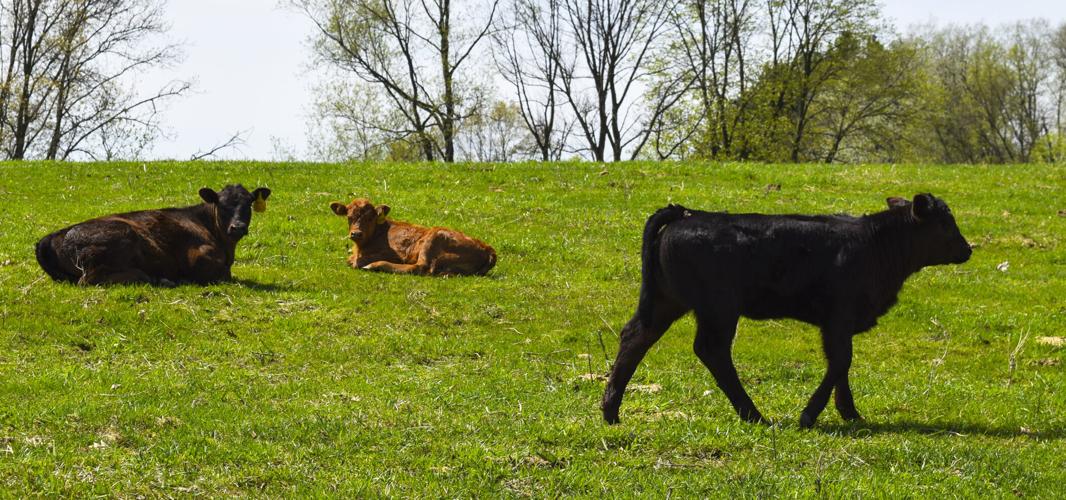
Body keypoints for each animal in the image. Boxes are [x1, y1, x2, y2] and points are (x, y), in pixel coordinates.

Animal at [35, 185, 271, 286]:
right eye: (221, 204)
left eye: (249, 203)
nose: (238, 227)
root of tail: (53, 235)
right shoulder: (198, 258)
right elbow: (224, 274)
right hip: (119, 237)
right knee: (89, 280)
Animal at [329, 198, 497, 276]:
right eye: (349, 217)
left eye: (370, 218)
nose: (356, 233)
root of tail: (488, 249)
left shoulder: (395, 254)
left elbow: (356, 262)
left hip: (433, 238)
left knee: (419, 267)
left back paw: (376, 265)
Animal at [601, 194, 972, 428]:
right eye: (946, 222)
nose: (968, 249)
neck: (874, 245)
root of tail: (689, 214)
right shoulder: (839, 317)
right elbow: (841, 361)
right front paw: (810, 415)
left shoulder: (839, 323)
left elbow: (841, 365)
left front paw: (850, 413)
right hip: (719, 309)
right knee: (712, 351)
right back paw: (753, 414)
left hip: (666, 302)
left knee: (635, 337)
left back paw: (610, 411)